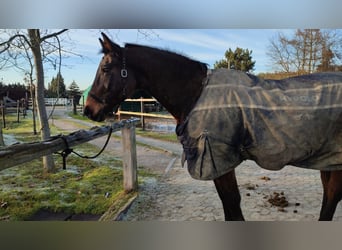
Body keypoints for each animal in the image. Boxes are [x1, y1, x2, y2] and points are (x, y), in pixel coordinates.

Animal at [83, 31, 342, 221]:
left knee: (331, 196)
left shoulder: (218, 159)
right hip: (326, 160)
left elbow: (232, 206)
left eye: (105, 69)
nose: (88, 110)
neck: (196, 93)